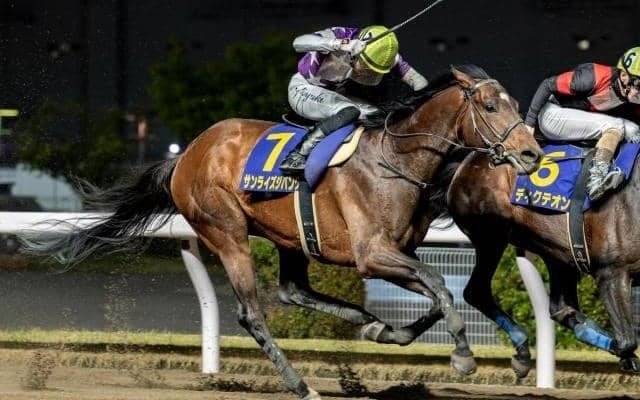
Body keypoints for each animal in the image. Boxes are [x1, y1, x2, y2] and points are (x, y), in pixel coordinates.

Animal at [25, 65, 542, 400]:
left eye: (517, 104)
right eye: (491, 105)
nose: (533, 154)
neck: (395, 161)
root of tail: (188, 153)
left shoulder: (398, 253)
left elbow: (436, 296)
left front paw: (391, 332)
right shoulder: (371, 254)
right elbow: (440, 288)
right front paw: (463, 356)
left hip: (290, 238)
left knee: (293, 291)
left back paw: (365, 323)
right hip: (226, 232)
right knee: (252, 314)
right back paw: (300, 384)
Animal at [446, 148, 640, 378]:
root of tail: (469, 160)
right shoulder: (611, 272)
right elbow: (627, 340)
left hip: (555, 250)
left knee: (560, 307)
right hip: (491, 236)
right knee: (477, 291)